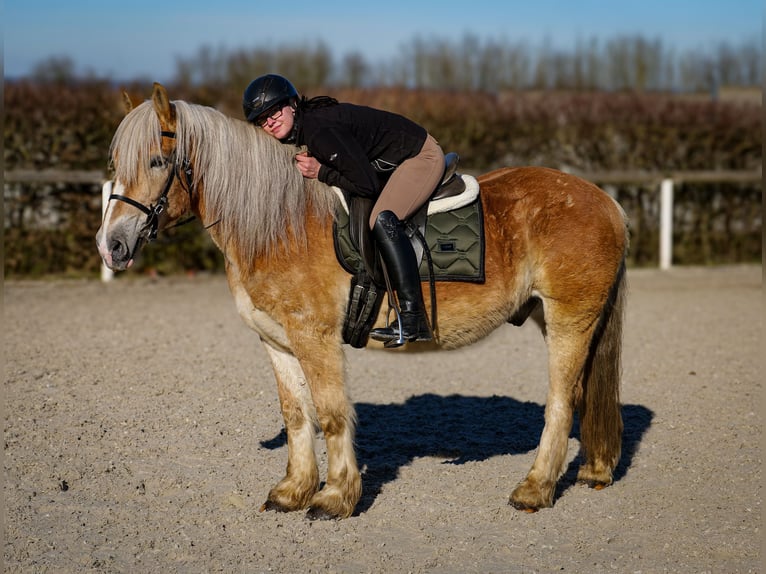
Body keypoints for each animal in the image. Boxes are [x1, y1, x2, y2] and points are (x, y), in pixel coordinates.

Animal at [97, 82, 632, 520]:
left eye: (157, 161)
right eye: (115, 165)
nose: (112, 246)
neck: (278, 224)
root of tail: (606, 201)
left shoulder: (315, 337)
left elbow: (332, 414)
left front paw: (335, 497)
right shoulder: (278, 342)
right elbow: (297, 415)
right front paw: (292, 491)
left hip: (569, 319)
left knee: (561, 401)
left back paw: (535, 489)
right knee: (584, 395)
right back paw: (595, 472)